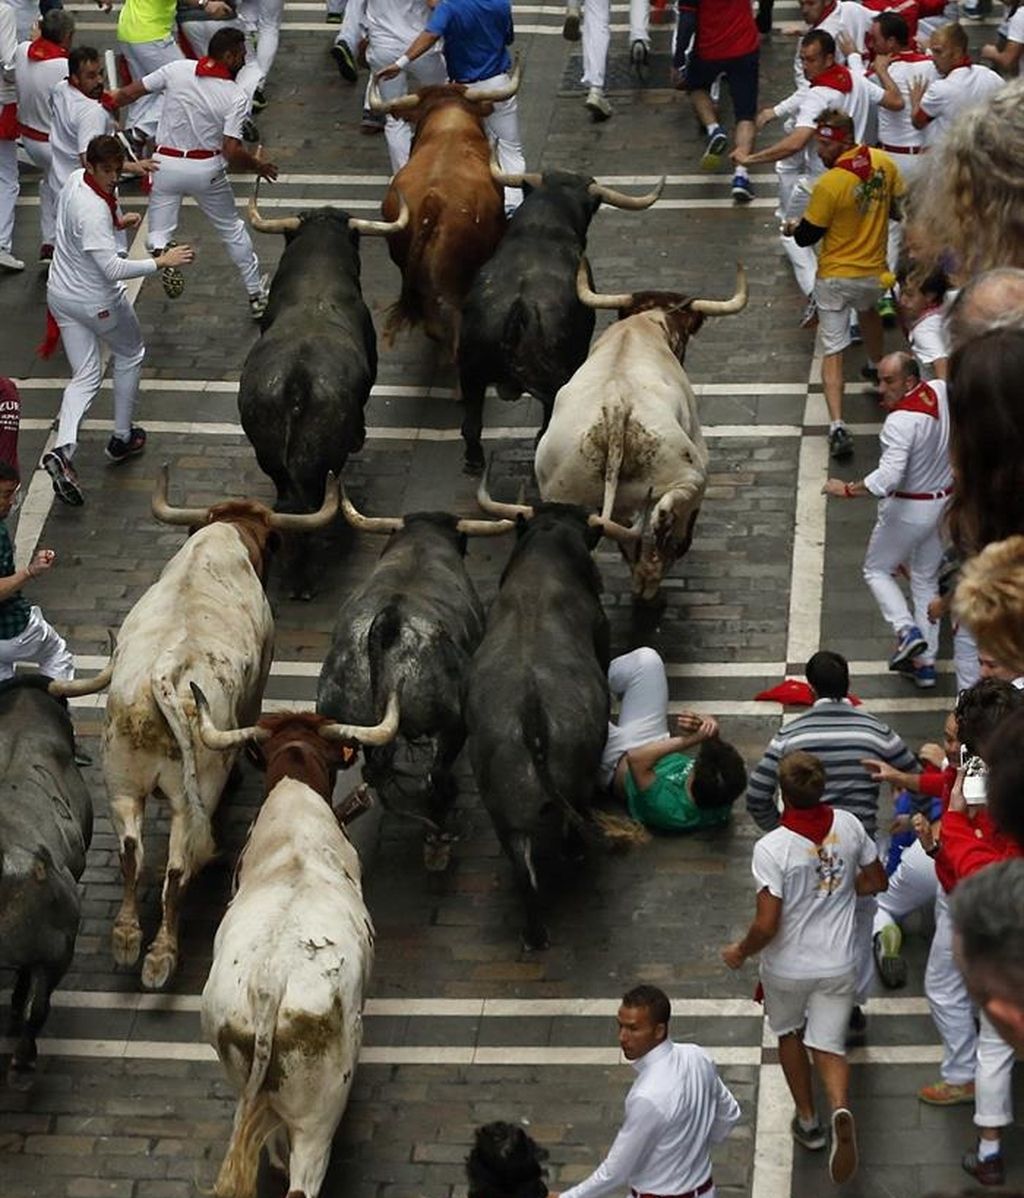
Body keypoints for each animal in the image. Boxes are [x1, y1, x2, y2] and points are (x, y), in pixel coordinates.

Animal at [99, 462, 335, 987]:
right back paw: (161, 955)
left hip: (123, 783)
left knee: (131, 854)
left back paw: (126, 939)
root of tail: (162, 674)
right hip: (192, 797)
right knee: (176, 869)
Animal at [536, 262, 742, 599]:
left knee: (625, 534)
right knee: (677, 511)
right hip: (690, 470)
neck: (642, 325)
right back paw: (654, 564)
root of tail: (615, 406)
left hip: (566, 490)